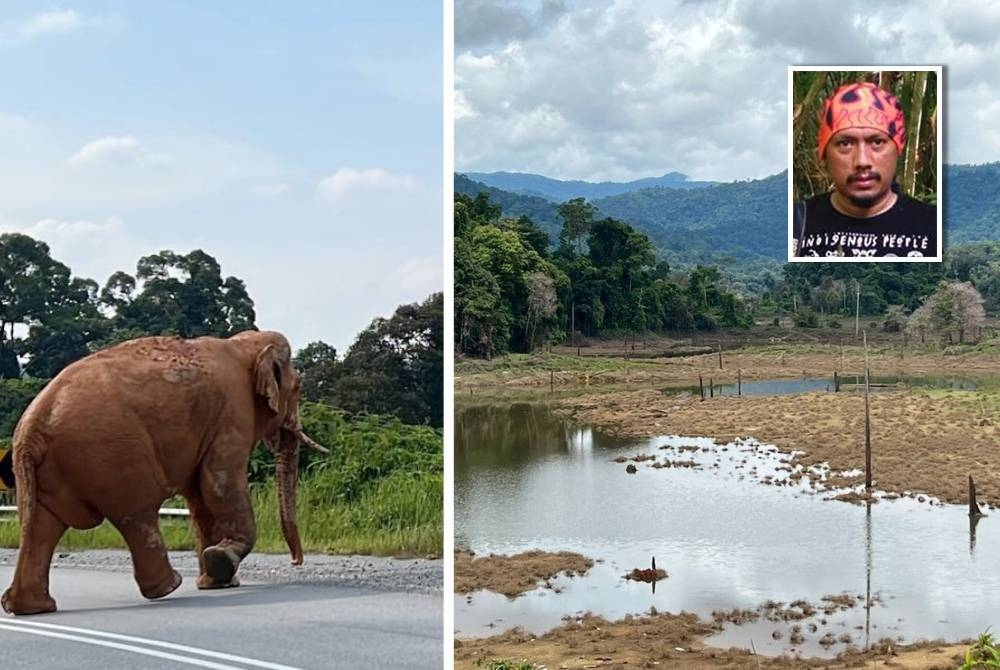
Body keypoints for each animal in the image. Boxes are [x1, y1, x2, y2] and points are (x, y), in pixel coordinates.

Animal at [0, 328, 326, 616]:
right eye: (298, 386)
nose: (296, 562)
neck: (244, 344)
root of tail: (31, 430)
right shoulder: (233, 413)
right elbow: (219, 484)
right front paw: (219, 563)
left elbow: (199, 498)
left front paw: (216, 583)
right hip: (113, 454)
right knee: (136, 513)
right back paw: (169, 587)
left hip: (56, 467)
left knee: (41, 526)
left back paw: (32, 608)